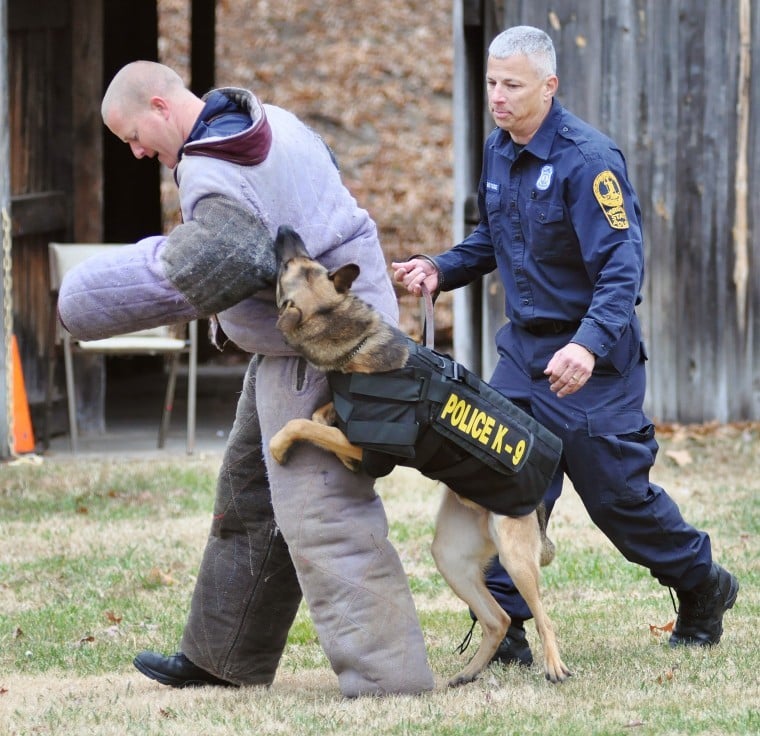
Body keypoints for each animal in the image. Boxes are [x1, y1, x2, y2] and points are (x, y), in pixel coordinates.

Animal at [268, 226, 568, 688]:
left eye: (293, 265)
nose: (285, 231)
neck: (355, 338)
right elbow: (319, 417)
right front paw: (328, 420)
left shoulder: (366, 448)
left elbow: (301, 425)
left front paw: (281, 445)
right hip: (451, 557)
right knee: (497, 619)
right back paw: (468, 673)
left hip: (516, 558)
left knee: (542, 616)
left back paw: (553, 665)